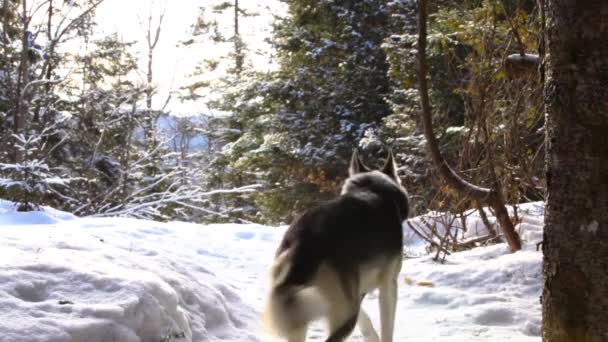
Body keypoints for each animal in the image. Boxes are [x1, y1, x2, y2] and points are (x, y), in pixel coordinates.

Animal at [262, 149, 408, 342]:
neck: (372, 188)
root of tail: (305, 242)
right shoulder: (388, 286)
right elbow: (386, 330)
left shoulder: (356, 294)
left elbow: (365, 320)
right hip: (343, 316)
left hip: (300, 314)